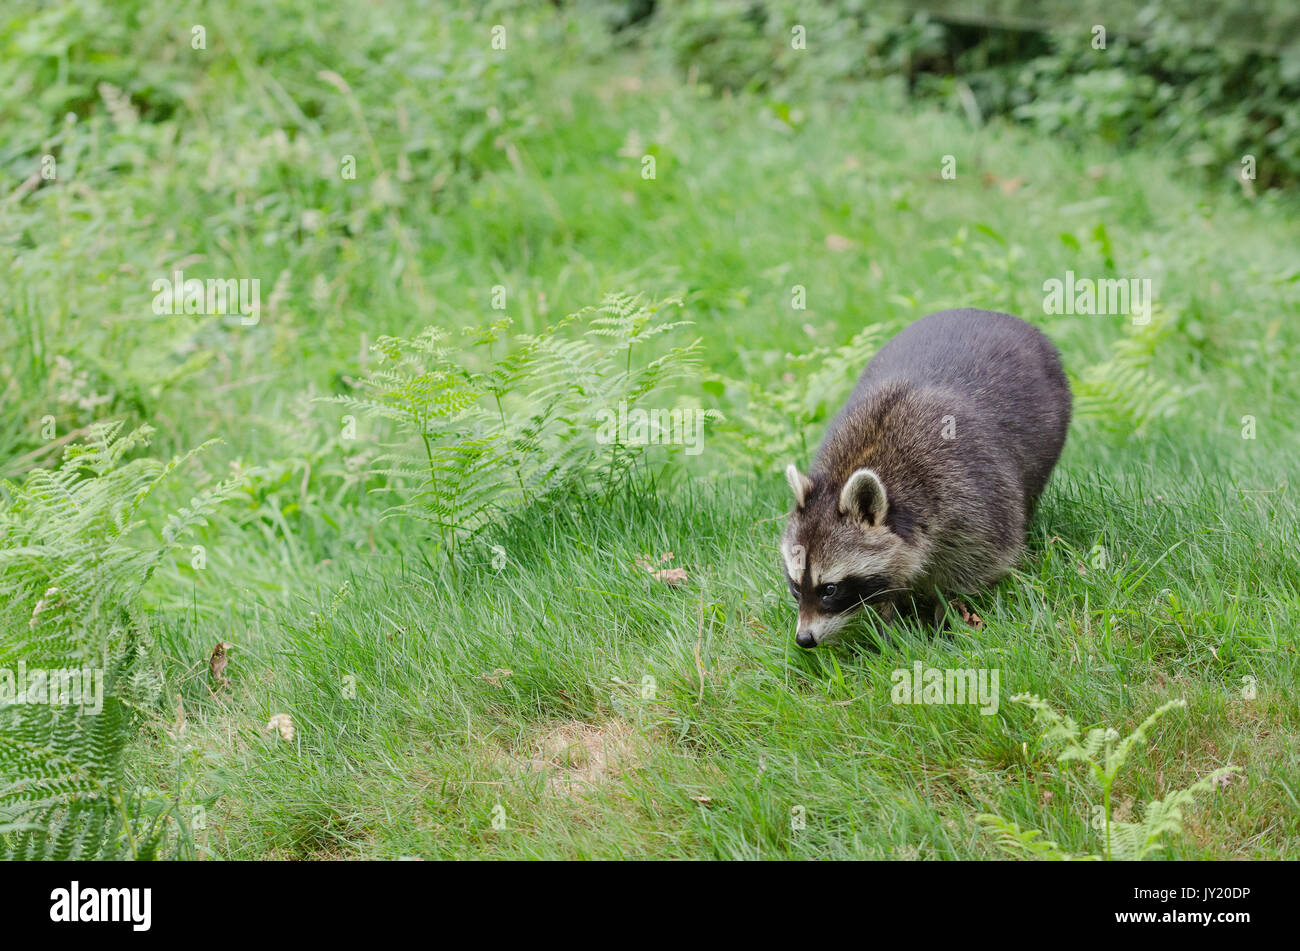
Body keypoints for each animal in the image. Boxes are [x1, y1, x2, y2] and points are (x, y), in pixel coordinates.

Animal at [780, 310, 1066, 646]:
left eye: (830, 589)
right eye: (796, 586)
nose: (804, 639)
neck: (860, 458)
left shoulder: (971, 495)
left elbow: (977, 562)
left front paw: (947, 617)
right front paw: (887, 622)